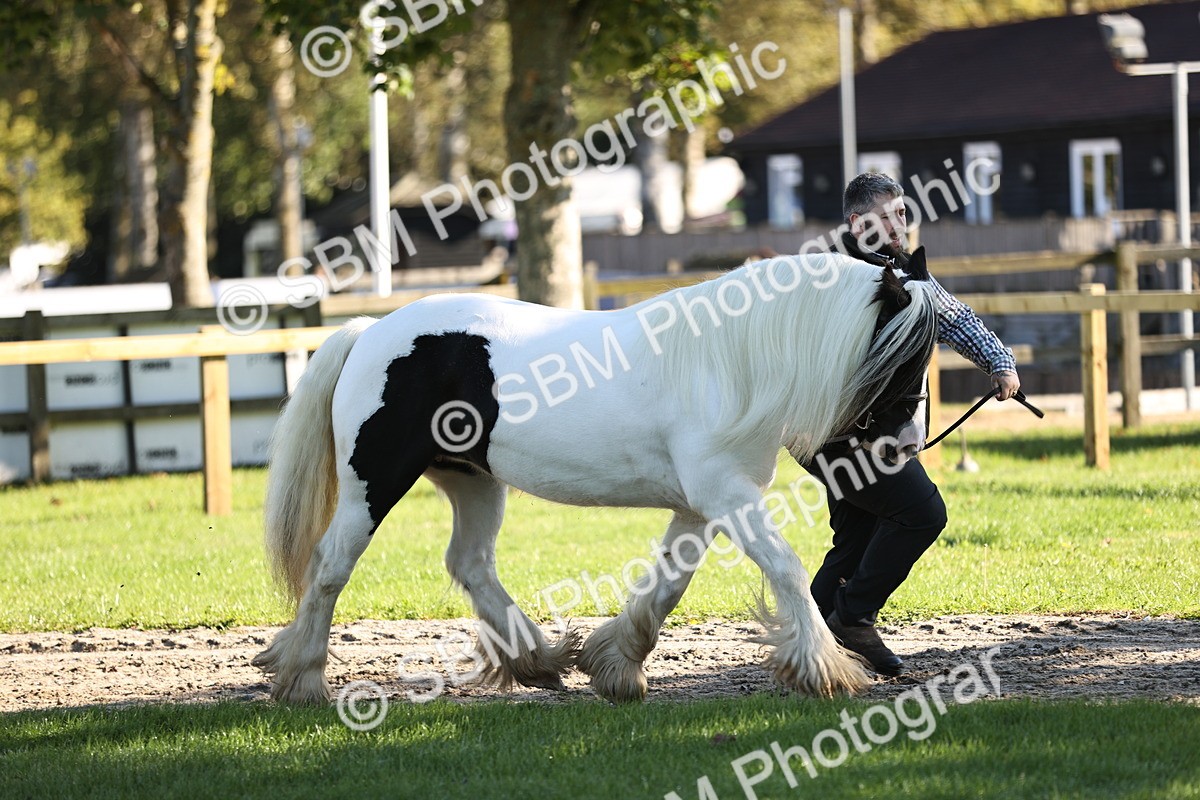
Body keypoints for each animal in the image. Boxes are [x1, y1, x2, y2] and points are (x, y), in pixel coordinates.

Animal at [252, 248, 939, 704]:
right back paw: (304, 680)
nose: (906, 447)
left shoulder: (699, 508)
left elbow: (667, 587)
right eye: (903, 356)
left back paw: (539, 659)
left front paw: (616, 667)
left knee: (470, 564)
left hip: (474, 481)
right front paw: (827, 669)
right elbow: (789, 570)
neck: (729, 363)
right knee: (331, 565)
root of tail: (373, 331)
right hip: (374, 485)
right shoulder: (727, 496)